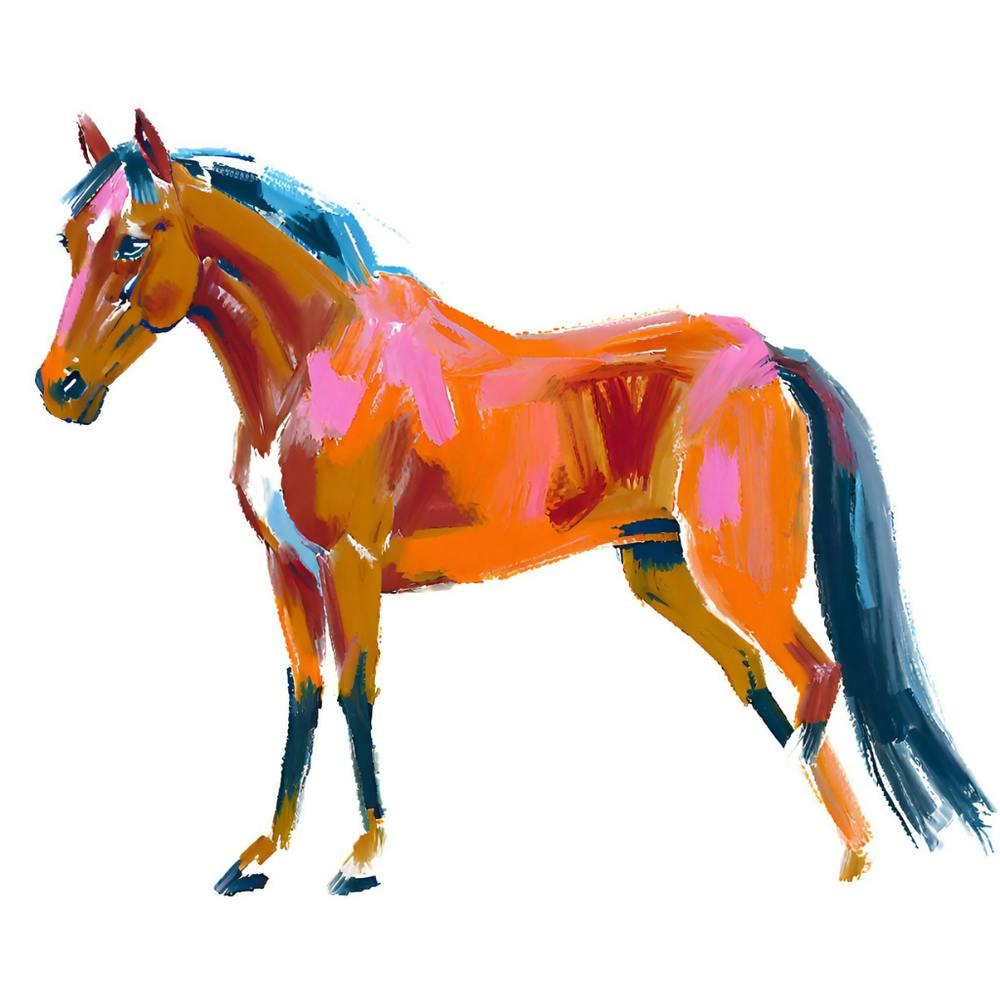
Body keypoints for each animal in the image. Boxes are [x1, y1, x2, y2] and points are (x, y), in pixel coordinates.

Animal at [36, 109, 992, 894]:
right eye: (68, 239)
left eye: (134, 240)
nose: (59, 386)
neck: (319, 362)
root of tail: (763, 354)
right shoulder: (285, 568)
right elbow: (302, 696)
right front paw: (261, 854)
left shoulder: (351, 567)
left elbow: (354, 691)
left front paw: (363, 855)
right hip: (659, 568)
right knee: (758, 678)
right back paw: (843, 844)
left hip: (737, 569)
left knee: (816, 677)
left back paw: (850, 853)